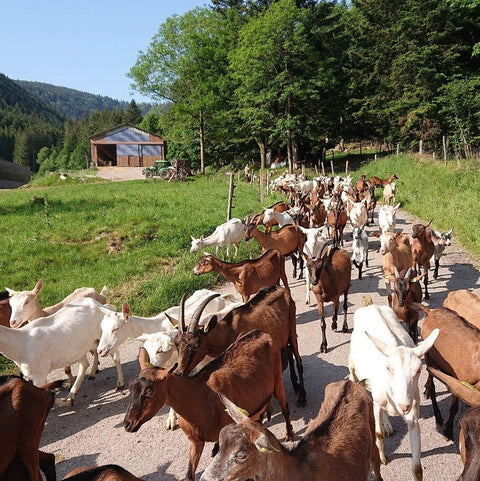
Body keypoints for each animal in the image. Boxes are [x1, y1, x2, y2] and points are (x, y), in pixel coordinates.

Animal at [124, 330, 294, 480]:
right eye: (130, 388)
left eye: (149, 390)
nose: (127, 424)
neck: (201, 397)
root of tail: (262, 333)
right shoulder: (196, 441)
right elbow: (189, 475)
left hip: (277, 379)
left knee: (285, 406)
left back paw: (289, 434)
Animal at [174, 284, 306, 404]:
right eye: (177, 345)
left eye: (196, 345)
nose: (178, 372)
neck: (228, 330)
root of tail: (281, 288)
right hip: (283, 336)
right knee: (289, 353)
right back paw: (295, 385)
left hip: (292, 326)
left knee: (298, 358)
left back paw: (302, 396)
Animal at [346, 304, 440, 480]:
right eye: (389, 368)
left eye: (419, 370)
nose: (403, 406)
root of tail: (371, 306)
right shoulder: (376, 403)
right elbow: (377, 433)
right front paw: (382, 458)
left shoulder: (413, 413)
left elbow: (417, 467)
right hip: (352, 362)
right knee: (352, 372)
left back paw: (388, 425)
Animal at [422, 308, 480, 438]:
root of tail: (430, 312)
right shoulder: (459, 381)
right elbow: (454, 408)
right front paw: (448, 430)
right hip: (428, 355)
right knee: (432, 385)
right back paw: (438, 416)